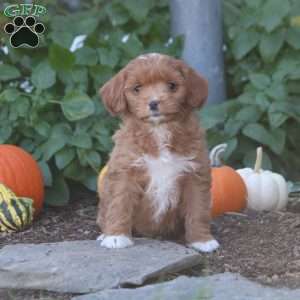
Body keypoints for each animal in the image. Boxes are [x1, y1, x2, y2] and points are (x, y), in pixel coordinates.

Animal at [97, 52, 219, 252]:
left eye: (172, 85)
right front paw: (116, 237)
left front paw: (202, 240)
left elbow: (198, 209)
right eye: (137, 88)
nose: (154, 103)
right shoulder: (124, 172)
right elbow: (119, 203)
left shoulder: (195, 174)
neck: (159, 130)